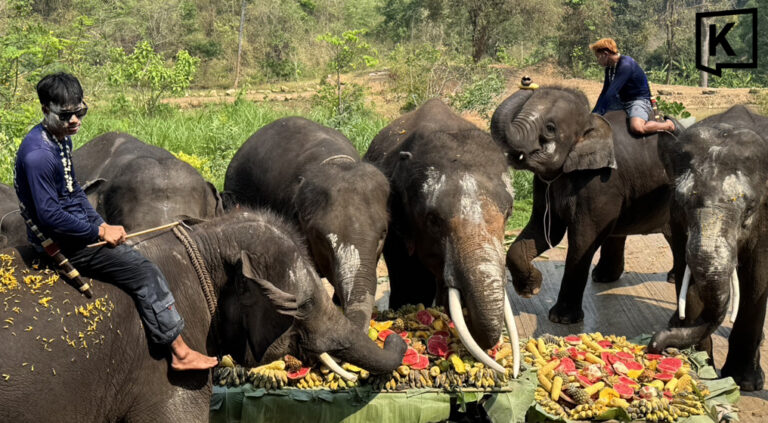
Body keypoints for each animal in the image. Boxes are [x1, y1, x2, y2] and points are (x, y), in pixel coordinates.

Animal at [491, 87, 680, 324]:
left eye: (550, 129)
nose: (527, 84)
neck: (590, 123)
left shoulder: (600, 181)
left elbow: (583, 238)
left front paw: (561, 319)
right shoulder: (544, 186)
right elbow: (544, 231)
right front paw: (531, 288)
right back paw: (605, 278)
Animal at [649, 105, 768, 392]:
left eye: (750, 210)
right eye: (682, 203)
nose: (655, 345)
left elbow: (758, 275)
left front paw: (745, 383)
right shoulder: (676, 220)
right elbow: (688, 273)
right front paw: (703, 370)